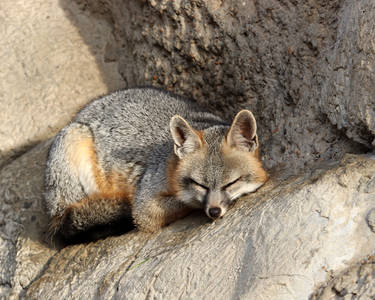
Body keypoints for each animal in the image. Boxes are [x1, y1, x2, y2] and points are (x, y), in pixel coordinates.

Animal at [44, 86, 268, 239]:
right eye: (199, 185)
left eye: (231, 183)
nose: (214, 211)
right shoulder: (145, 205)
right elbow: (182, 201)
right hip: (74, 139)